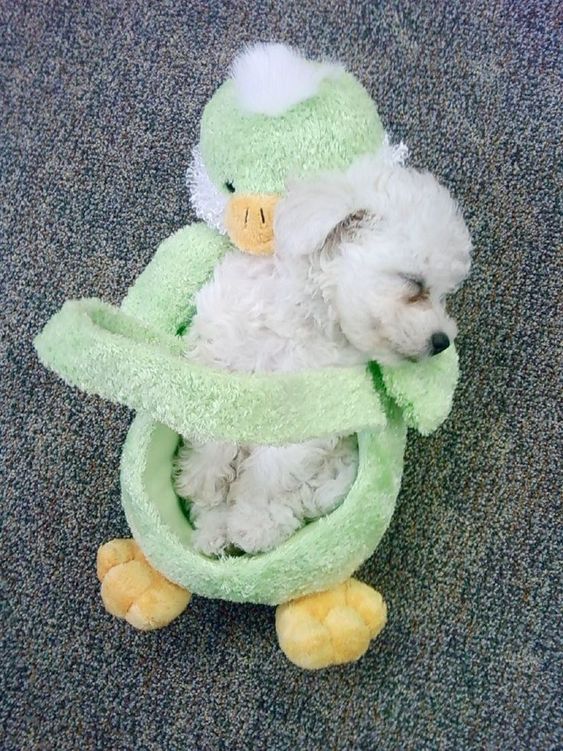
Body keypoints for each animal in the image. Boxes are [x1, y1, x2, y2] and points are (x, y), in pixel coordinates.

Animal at [175, 150, 472, 556]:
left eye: (443, 294)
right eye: (414, 284)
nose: (442, 341)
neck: (304, 317)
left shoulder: (314, 408)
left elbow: (271, 469)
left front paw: (249, 517)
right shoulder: (221, 355)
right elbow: (213, 426)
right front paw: (202, 481)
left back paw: (256, 528)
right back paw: (212, 529)